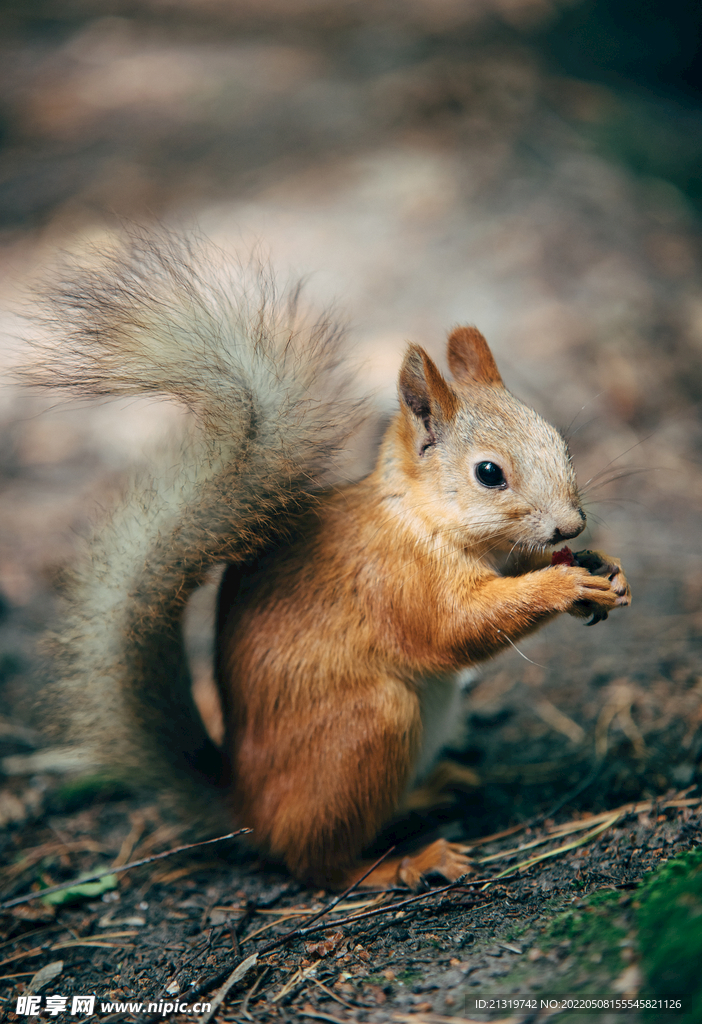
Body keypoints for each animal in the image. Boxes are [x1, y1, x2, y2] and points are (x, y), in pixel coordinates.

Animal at [24, 234, 634, 897]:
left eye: (561, 443)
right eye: (489, 473)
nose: (571, 527)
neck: (419, 517)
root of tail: (248, 810)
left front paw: (604, 568)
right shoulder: (393, 579)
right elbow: (454, 630)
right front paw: (561, 582)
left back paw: (430, 793)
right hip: (371, 727)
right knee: (317, 862)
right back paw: (405, 862)